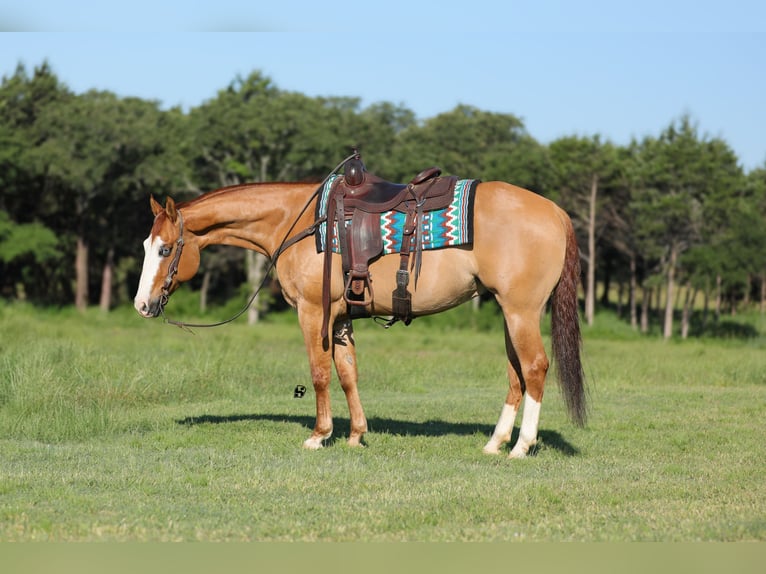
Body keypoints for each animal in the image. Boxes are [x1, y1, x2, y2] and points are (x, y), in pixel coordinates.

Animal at [135, 161, 588, 460]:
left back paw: (522, 446)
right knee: (516, 373)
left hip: (521, 311)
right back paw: (496, 443)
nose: (142, 305)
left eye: (164, 249)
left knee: (534, 368)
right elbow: (348, 373)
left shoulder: (313, 313)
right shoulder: (340, 318)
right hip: (510, 313)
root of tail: (555, 211)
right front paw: (355, 434)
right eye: (145, 245)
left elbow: (319, 374)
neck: (297, 221)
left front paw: (319, 435)